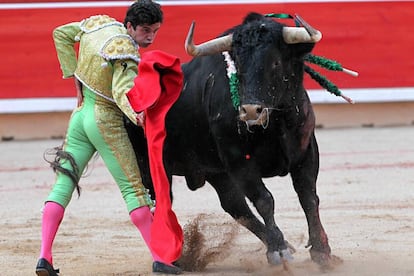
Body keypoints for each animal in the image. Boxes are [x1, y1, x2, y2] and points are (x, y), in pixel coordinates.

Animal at [125, 12, 334, 268]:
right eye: (239, 66)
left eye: (275, 63)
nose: (251, 110)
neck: (275, 123)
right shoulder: (239, 163)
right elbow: (265, 200)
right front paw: (278, 250)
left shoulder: (306, 153)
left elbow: (308, 197)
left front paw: (321, 251)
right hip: (148, 167)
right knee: (161, 204)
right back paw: (170, 258)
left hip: (216, 172)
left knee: (235, 205)